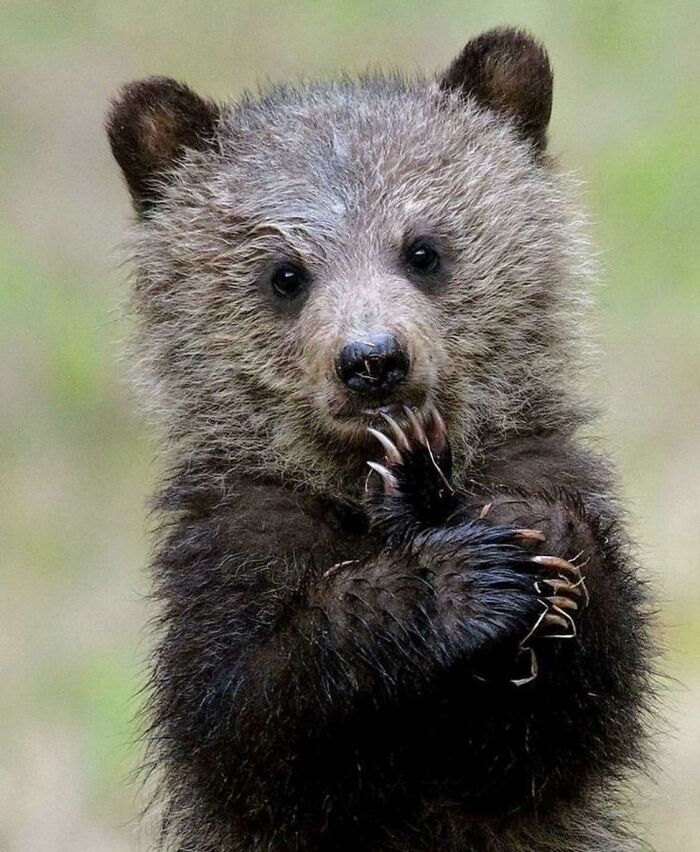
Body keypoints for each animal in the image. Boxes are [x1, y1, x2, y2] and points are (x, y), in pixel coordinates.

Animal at [107, 27, 655, 852]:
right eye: (286, 273)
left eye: (423, 249)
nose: (372, 360)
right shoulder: (233, 540)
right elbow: (252, 719)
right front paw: (460, 575)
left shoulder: (540, 460)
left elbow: (572, 725)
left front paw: (536, 538)